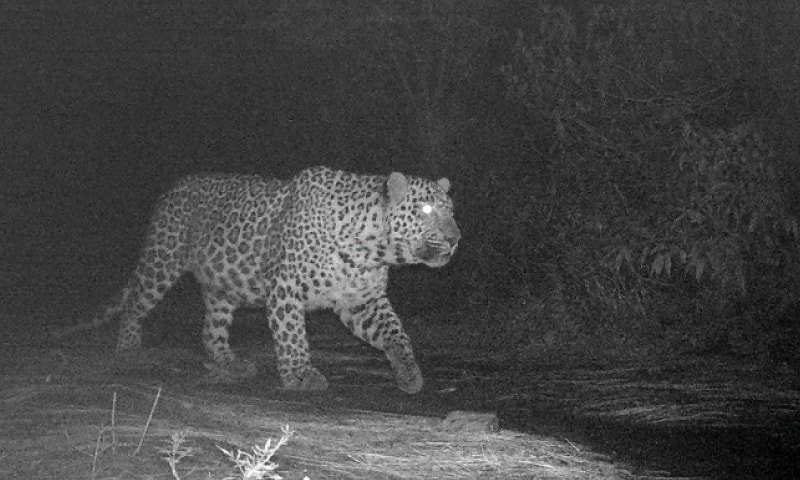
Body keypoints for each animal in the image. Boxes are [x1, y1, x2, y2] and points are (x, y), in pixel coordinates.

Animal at [82, 166, 460, 394]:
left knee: (211, 331)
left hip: (223, 286)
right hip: (162, 261)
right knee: (135, 303)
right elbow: (292, 335)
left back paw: (230, 364)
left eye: (451, 211)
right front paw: (299, 374)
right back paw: (128, 348)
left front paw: (408, 372)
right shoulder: (286, 287)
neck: (373, 248)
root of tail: (171, 189)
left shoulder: (361, 301)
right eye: (425, 210)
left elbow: (395, 332)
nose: (456, 238)